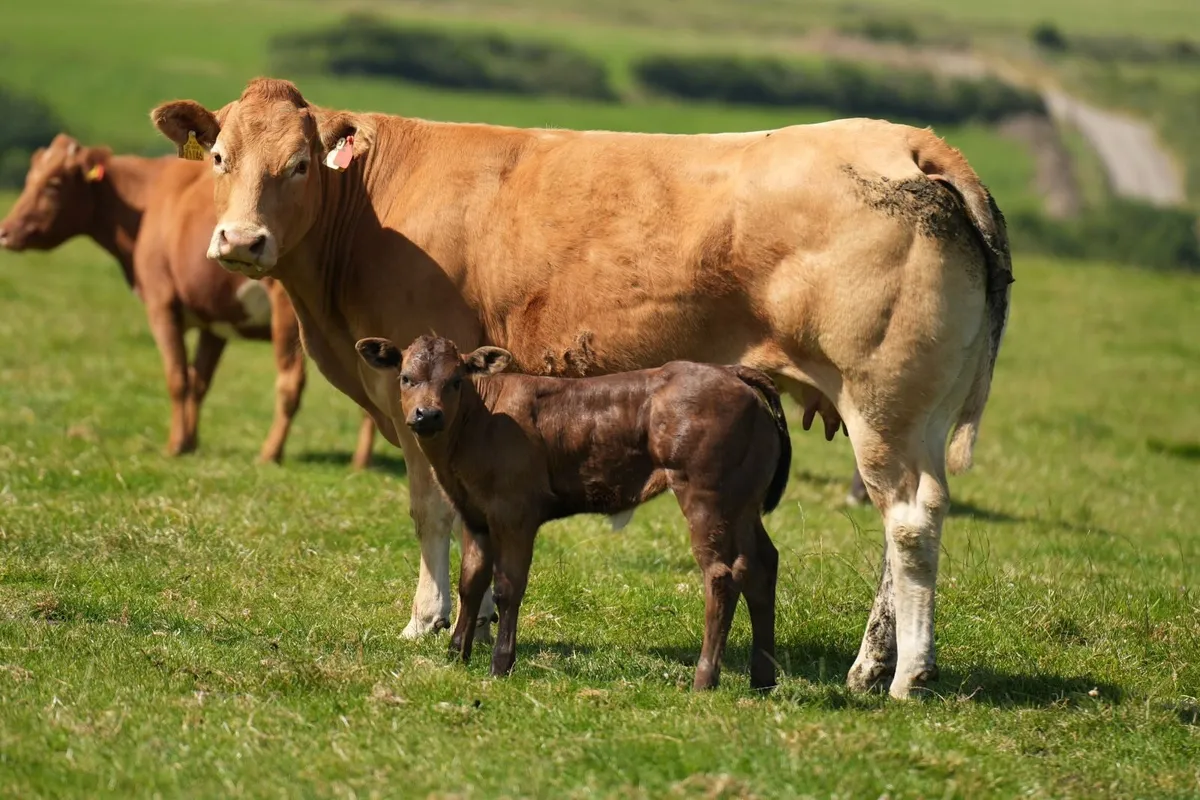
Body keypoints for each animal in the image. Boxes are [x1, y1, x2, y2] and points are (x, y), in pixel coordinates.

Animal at [0, 134, 377, 468]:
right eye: (30, 179)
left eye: (53, 184)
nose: (5, 231)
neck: (145, 205)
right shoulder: (215, 319)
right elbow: (199, 381)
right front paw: (192, 442)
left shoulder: (162, 304)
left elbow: (177, 377)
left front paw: (176, 446)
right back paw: (360, 462)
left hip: (286, 314)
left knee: (290, 382)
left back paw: (270, 454)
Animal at [356, 334, 788, 691]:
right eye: (406, 378)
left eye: (456, 380)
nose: (427, 415)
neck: (480, 423)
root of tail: (730, 372)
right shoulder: (475, 514)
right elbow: (471, 582)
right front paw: (455, 655)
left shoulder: (515, 512)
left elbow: (508, 587)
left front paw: (500, 664)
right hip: (743, 503)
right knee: (761, 565)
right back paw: (762, 679)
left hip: (707, 497)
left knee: (721, 574)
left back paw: (704, 678)